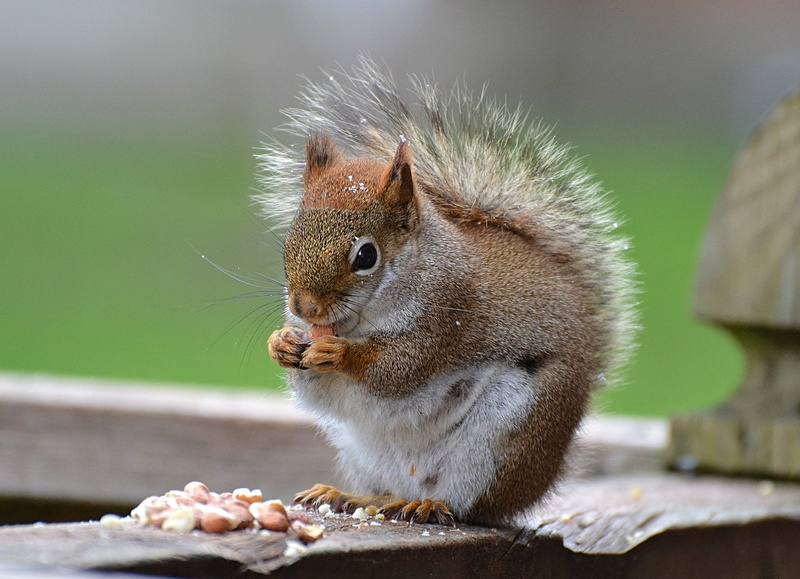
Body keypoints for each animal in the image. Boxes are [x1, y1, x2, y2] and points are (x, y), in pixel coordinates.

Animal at [257, 58, 636, 526]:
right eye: (289, 241)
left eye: (366, 256)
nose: (304, 306)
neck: (358, 321)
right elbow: (314, 388)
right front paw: (281, 342)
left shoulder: (447, 314)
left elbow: (397, 370)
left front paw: (340, 354)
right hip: (362, 453)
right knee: (384, 491)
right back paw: (352, 496)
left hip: (505, 437)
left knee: (469, 506)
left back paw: (429, 505)